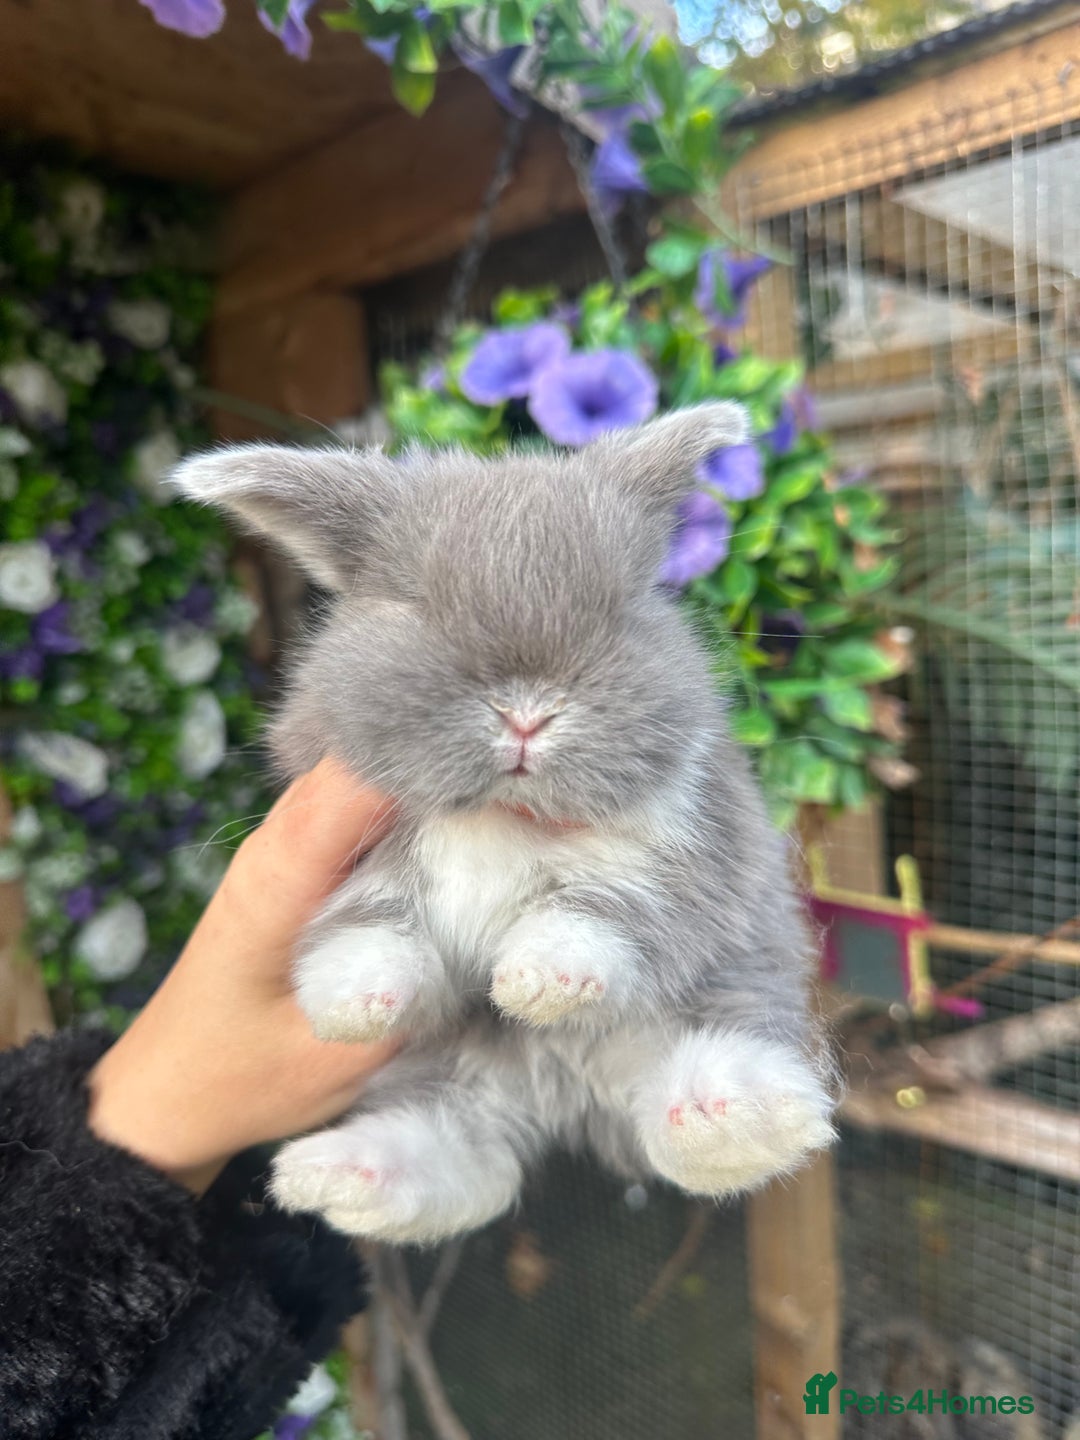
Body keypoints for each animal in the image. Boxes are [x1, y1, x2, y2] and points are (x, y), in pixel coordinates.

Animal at [172, 402, 836, 1245]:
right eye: (413, 604)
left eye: (623, 607)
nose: (526, 714)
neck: (494, 816)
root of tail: (559, 1095)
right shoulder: (356, 863)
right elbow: (366, 929)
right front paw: (353, 1006)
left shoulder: (681, 860)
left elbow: (597, 916)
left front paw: (538, 983)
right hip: (441, 1081)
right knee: (468, 1159)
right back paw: (344, 1177)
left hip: (741, 986)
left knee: (690, 1091)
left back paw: (733, 1119)